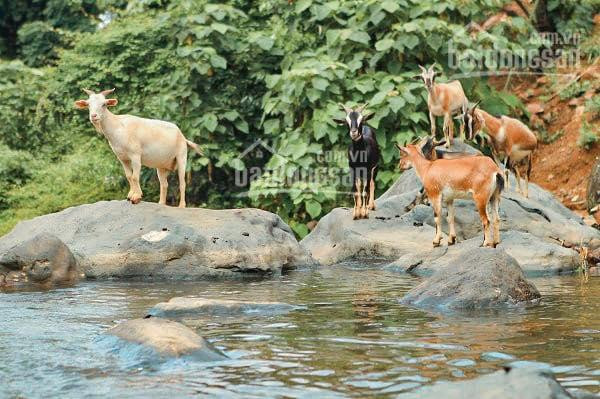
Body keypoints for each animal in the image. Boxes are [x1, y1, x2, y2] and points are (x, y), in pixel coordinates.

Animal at [73, 88, 202, 208]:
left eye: (104, 104)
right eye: (88, 104)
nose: (93, 116)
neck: (118, 127)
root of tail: (183, 137)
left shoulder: (135, 155)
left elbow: (135, 177)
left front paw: (137, 197)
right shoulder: (123, 158)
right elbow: (129, 176)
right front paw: (130, 195)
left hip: (181, 156)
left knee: (182, 182)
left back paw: (182, 206)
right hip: (161, 166)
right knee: (164, 184)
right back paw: (161, 203)